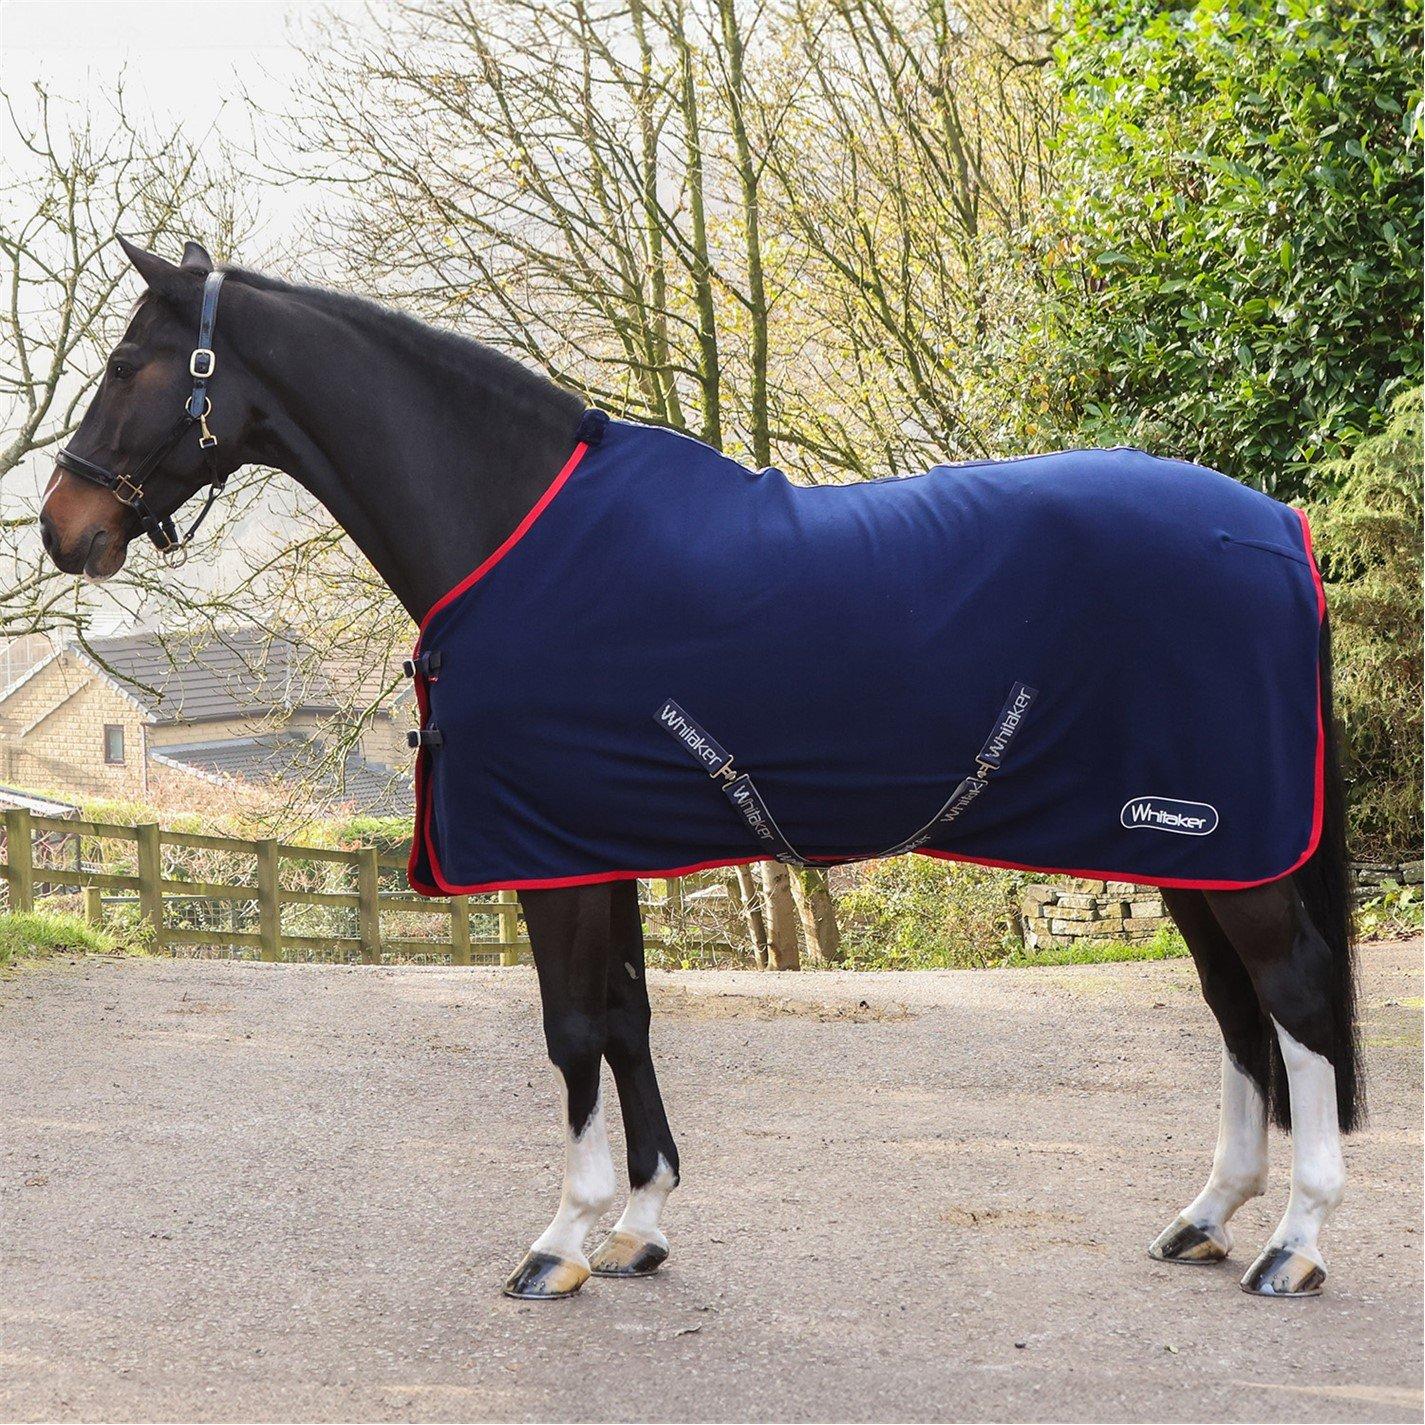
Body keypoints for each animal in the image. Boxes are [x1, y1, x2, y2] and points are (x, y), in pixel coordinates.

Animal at [39, 240, 1362, 1303]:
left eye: (126, 365)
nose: (62, 527)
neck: (512, 532)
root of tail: (1279, 529)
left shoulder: (554, 854)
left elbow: (574, 1028)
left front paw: (561, 1241)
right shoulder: (597, 840)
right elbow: (628, 1017)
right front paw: (640, 1225)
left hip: (1223, 844)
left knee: (1292, 1000)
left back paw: (1294, 1245)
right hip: (1188, 846)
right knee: (1236, 1012)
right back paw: (1207, 1217)